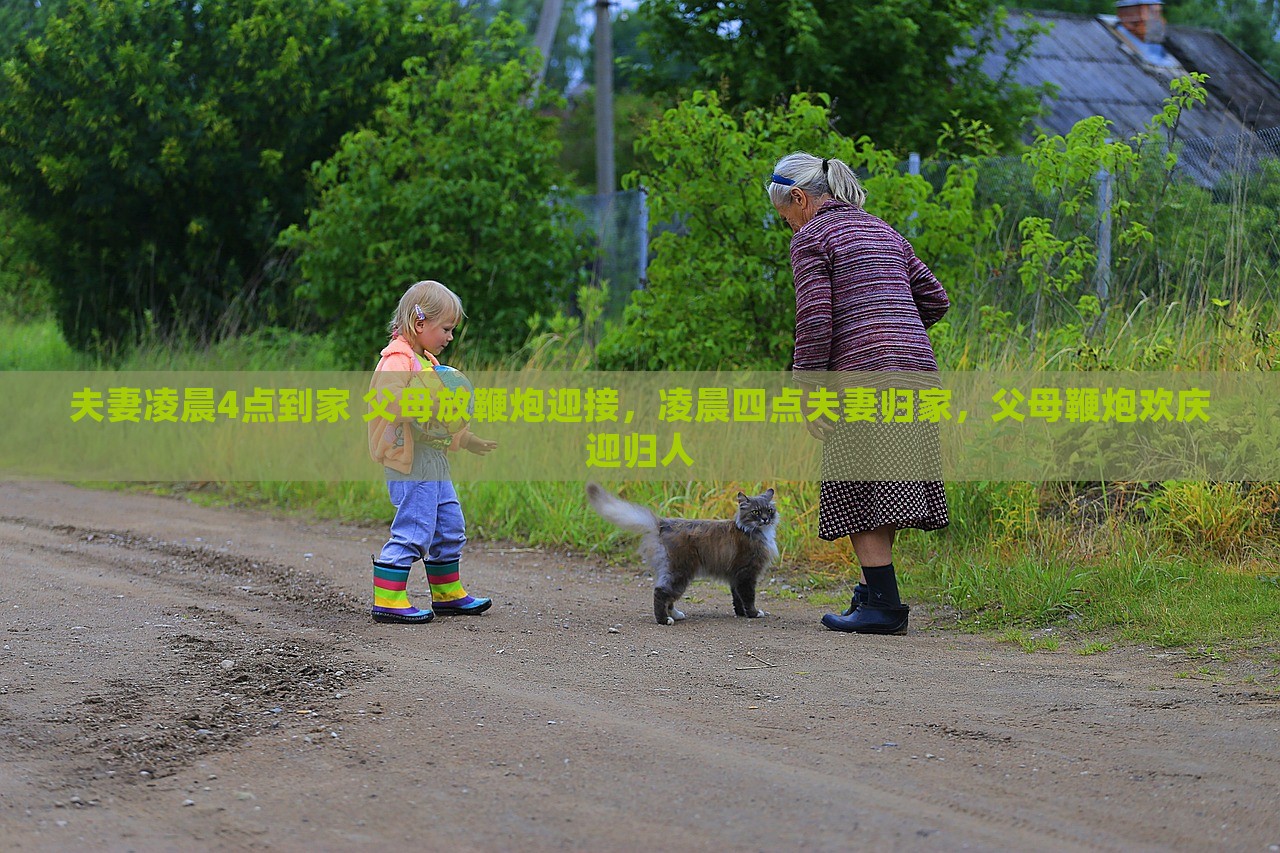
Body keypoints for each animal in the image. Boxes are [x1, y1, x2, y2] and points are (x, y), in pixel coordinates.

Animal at [586, 479, 778, 625]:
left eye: (769, 510)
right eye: (755, 512)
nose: (765, 519)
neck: (752, 531)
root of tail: (663, 523)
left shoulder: (736, 576)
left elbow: (737, 598)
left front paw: (741, 613)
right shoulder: (747, 573)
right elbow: (748, 597)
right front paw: (754, 613)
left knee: (668, 597)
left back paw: (676, 615)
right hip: (681, 571)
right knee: (660, 592)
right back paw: (665, 620)